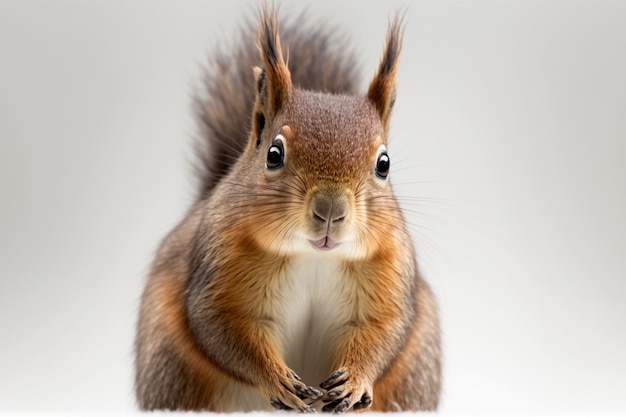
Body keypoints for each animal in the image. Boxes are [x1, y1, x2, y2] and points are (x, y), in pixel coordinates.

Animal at [135, 6, 442, 412]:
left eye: (384, 163)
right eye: (274, 154)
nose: (330, 211)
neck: (314, 257)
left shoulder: (390, 270)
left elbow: (384, 331)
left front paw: (355, 380)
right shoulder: (217, 272)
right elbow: (220, 328)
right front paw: (276, 380)